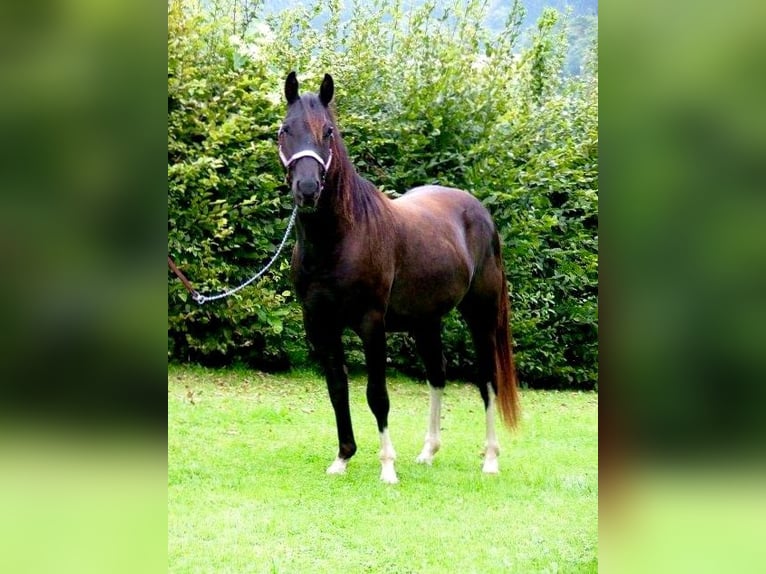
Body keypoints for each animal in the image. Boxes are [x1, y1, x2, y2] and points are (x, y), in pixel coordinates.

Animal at [278, 71, 519, 483]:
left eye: (328, 131)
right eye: (285, 129)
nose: (307, 190)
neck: (340, 239)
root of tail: (479, 211)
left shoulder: (371, 324)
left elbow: (377, 394)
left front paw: (387, 467)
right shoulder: (321, 325)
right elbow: (337, 388)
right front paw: (342, 458)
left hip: (481, 315)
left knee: (487, 380)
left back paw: (490, 459)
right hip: (426, 322)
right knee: (437, 375)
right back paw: (428, 452)